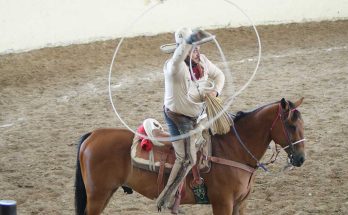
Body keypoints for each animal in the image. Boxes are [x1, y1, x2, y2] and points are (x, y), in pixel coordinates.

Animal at [74, 98, 304, 215]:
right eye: (291, 125)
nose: (301, 158)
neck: (233, 150)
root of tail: (93, 134)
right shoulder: (223, 203)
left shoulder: (240, 203)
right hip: (98, 195)